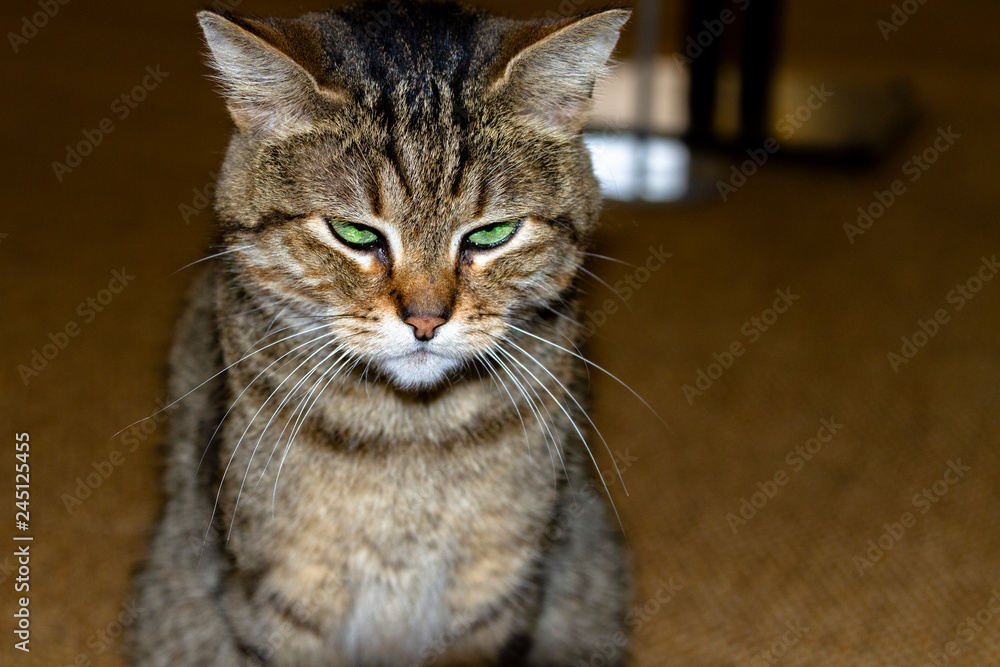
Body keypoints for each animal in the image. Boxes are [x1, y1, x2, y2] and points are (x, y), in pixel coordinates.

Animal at [129, 2, 632, 664]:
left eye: (492, 235)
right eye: (355, 234)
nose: (426, 319)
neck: (409, 436)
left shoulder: (498, 589)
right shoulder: (282, 592)